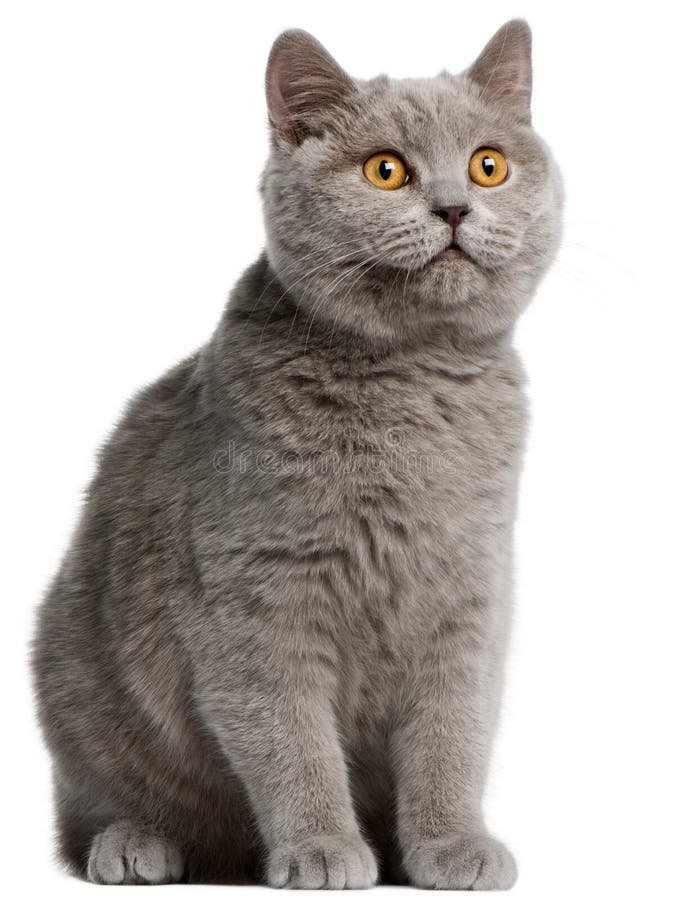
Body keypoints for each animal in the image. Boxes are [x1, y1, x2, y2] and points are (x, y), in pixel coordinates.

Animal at [33, 17, 556, 888]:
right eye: (386, 170)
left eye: (490, 163)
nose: (454, 208)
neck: (412, 384)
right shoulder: (255, 603)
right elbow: (290, 742)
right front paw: (319, 848)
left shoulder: (470, 597)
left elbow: (451, 737)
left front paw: (451, 845)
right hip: (75, 679)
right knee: (94, 811)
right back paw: (137, 845)